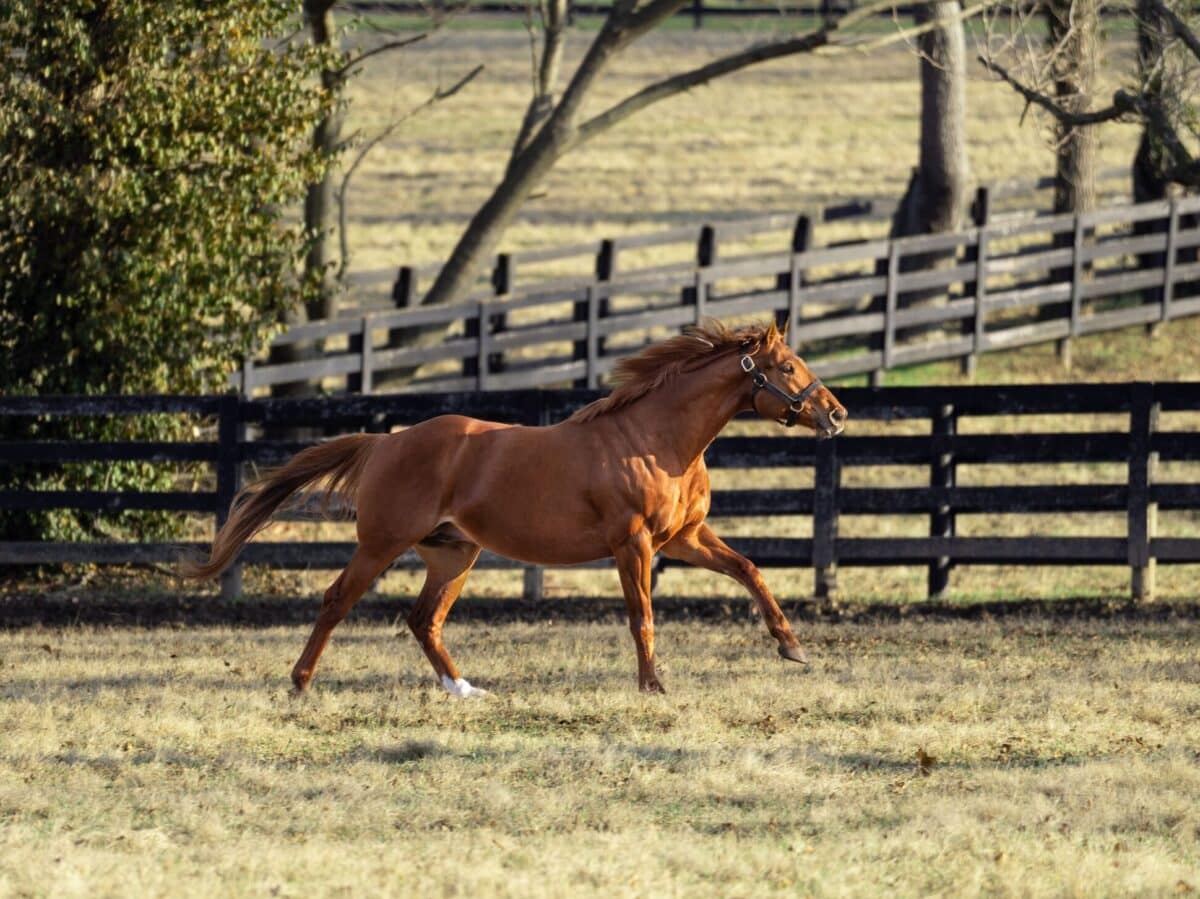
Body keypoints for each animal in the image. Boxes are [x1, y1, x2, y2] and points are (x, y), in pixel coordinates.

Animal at [182, 321, 849, 696]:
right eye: (788, 366)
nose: (837, 414)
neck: (656, 439)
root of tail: (385, 442)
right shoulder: (632, 544)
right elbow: (642, 617)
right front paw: (653, 686)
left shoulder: (683, 538)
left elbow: (749, 570)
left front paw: (792, 647)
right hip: (381, 544)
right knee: (336, 601)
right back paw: (300, 684)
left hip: (454, 554)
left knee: (424, 620)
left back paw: (462, 689)